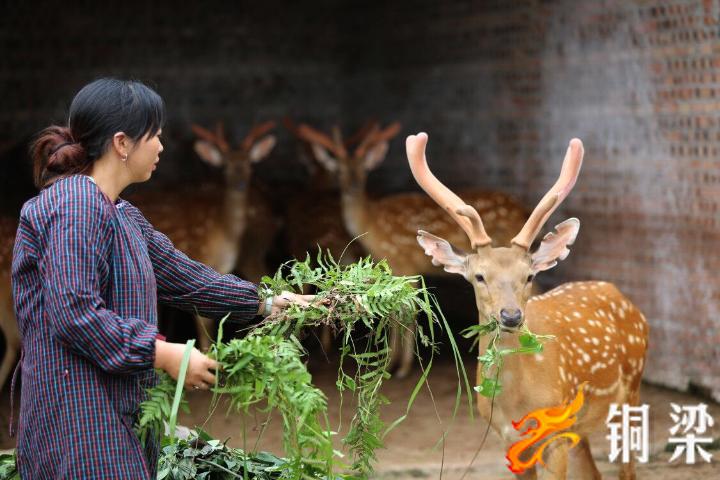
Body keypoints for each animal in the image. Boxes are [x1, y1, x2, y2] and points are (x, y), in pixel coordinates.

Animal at [292, 122, 528, 376]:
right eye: (338, 170)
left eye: (364, 169)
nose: (351, 187)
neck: (372, 227)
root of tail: (523, 208)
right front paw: (392, 362)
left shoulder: (405, 263)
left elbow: (408, 311)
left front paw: (401, 367)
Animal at [408, 132, 648, 480]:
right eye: (479, 276)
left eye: (529, 275)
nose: (511, 316)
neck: (516, 404)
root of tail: (621, 296)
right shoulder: (508, 438)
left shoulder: (555, 434)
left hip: (632, 388)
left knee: (627, 468)